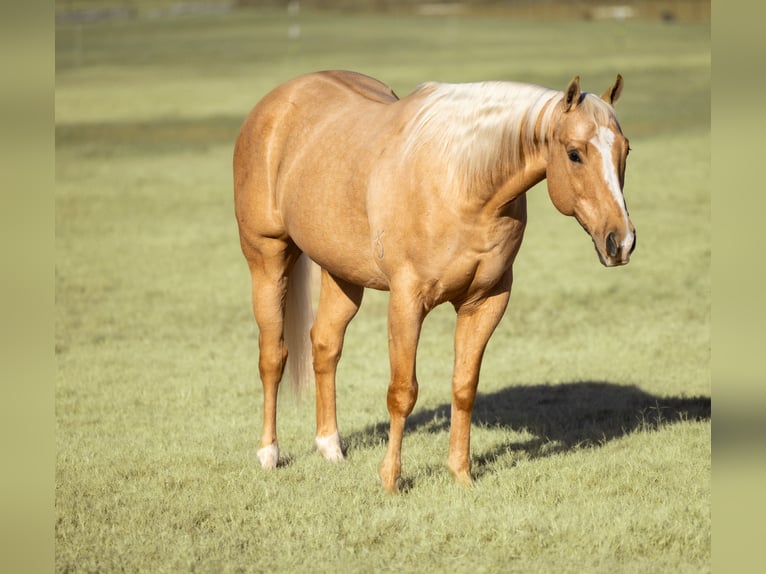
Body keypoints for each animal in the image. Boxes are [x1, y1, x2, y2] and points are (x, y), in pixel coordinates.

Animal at [233, 70, 635, 493]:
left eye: (626, 150)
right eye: (574, 153)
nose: (621, 242)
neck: (462, 182)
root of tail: (280, 99)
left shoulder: (485, 302)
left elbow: (464, 387)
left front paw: (461, 474)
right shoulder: (407, 301)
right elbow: (402, 392)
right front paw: (391, 480)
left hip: (341, 273)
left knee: (325, 346)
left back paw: (330, 447)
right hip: (267, 259)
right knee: (273, 355)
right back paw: (269, 454)